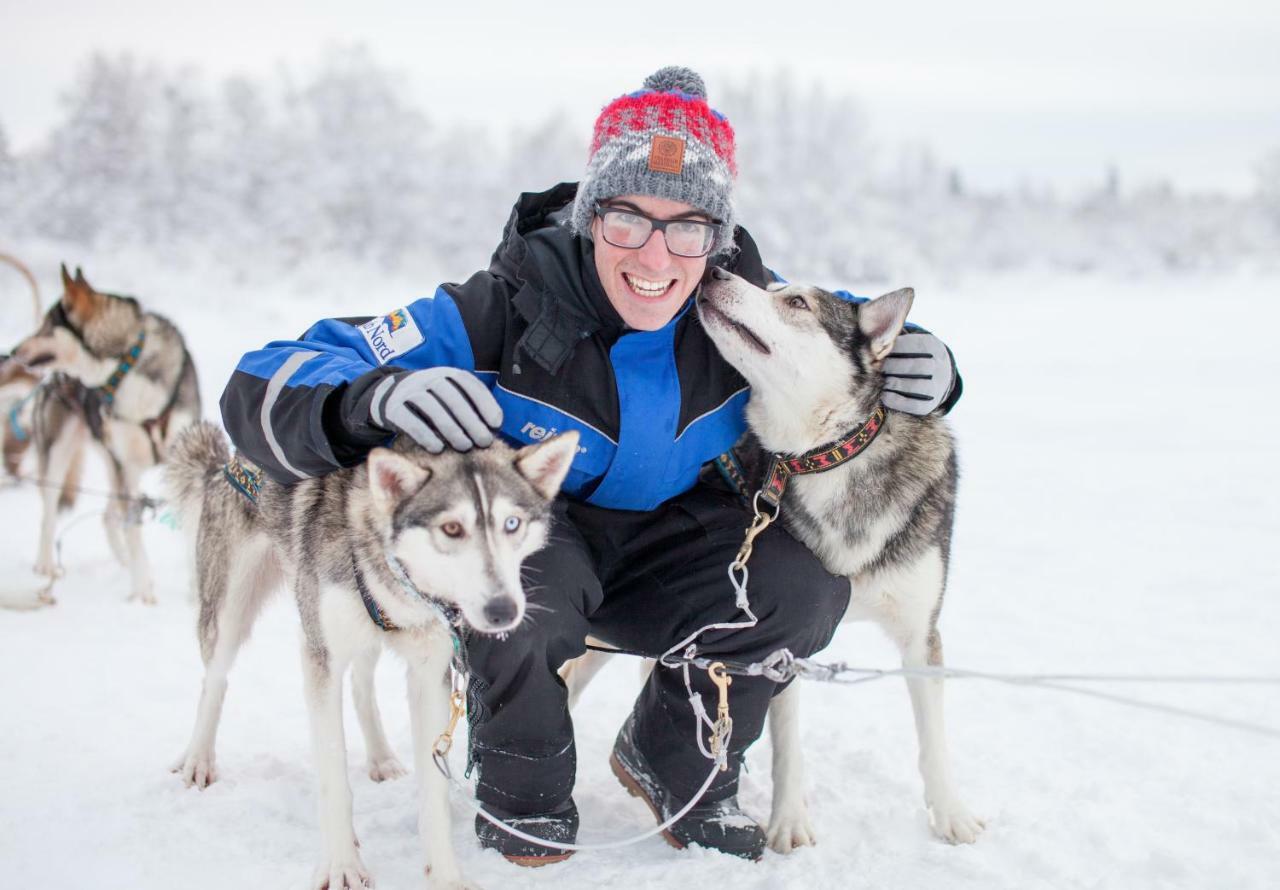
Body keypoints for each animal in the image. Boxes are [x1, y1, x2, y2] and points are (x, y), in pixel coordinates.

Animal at [6, 261, 202, 601]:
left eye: (46, 326)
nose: (14, 350)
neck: (124, 364)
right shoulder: (127, 466)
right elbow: (134, 530)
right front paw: (143, 592)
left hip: (113, 462)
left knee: (109, 515)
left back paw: (122, 563)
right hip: (62, 455)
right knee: (50, 511)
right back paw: (46, 565)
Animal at [167, 422, 578, 890]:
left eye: (512, 523)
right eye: (451, 528)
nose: (503, 610)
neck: (394, 574)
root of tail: (230, 460)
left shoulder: (429, 675)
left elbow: (433, 792)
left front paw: (445, 875)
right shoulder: (321, 659)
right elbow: (333, 778)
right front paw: (342, 865)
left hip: (364, 640)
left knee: (361, 686)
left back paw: (381, 756)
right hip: (230, 611)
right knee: (215, 680)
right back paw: (198, 760)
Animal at [696, 267, 983, 855]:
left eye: (796, 302)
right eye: (771, 286)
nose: (715, 270)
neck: (831, 454)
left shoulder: (922, 634)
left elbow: (933, 740)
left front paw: (950, 813)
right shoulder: (787, 650)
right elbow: (788, 744)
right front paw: (788, 820)